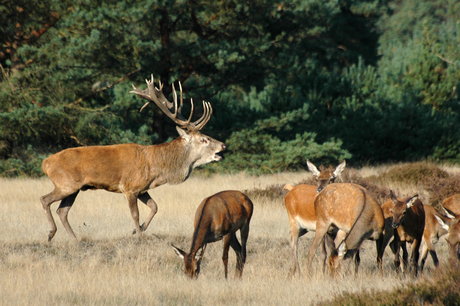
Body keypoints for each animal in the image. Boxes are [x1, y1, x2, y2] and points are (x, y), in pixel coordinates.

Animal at [39, 74, 225, 241]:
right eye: (204, 139)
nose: (223, 145)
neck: (157, 168)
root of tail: (45, 163)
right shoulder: (129, 186)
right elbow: (135, 214)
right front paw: (140, 234)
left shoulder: (143, 188)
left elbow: (155, 207)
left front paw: (138, 230)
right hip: (65, 183)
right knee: (45, 199)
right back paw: (50, 233)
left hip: (74, 188)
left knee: (62, 210)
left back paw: (74, 238)